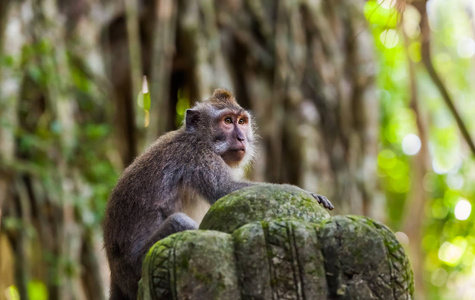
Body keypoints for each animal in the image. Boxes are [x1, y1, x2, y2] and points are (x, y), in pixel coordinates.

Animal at [104, 88, 334, 298]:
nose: (241, 138)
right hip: (136, 267)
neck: (200, 138)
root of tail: (115, 275)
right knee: (180, 222)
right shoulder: (197, 155)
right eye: (228, 121)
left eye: (242, 121)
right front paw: (306, 192)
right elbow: (224, 189)